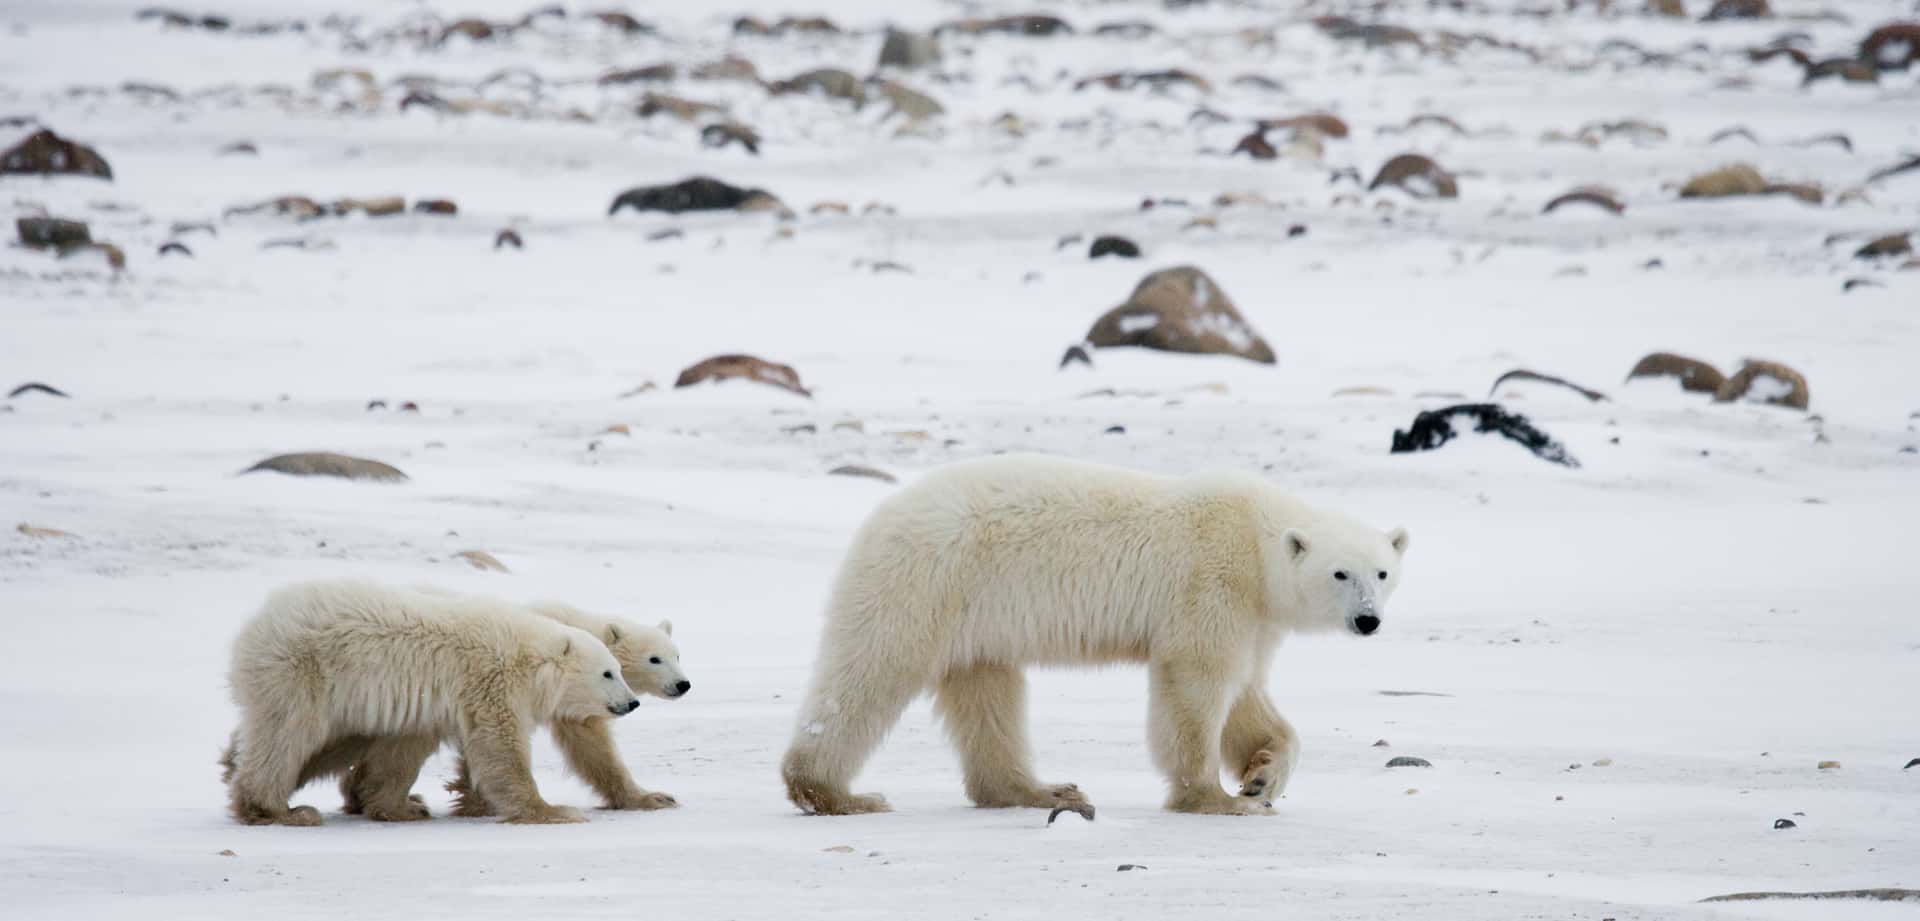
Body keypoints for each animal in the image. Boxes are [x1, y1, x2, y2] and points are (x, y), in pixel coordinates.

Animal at [221, 579, 641, 826]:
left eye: (619, 669)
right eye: (608, 673)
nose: (632, 703)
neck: (524, 654)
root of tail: (255, 626)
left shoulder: (426, 703)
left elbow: (401, 752)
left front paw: (401, 807)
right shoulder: (489, 682)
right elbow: (501, 745)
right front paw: (551, 811)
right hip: (301, 673)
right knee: (287, 734)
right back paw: (279, 809)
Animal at [780, 454, 1408, 817]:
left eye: (1382, 572)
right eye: (1340, 573)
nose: (1368, 620)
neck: (1257, 539)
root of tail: (883, 515)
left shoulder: (1254, 617)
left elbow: (1246, 695)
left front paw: (1262, 778)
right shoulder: (1213, 583)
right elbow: (1197, 684)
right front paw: (1214, 798)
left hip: (977, 616)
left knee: (987, 691)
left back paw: (1039, 790)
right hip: (926, 580)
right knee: (872, 671)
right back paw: (835, 792)